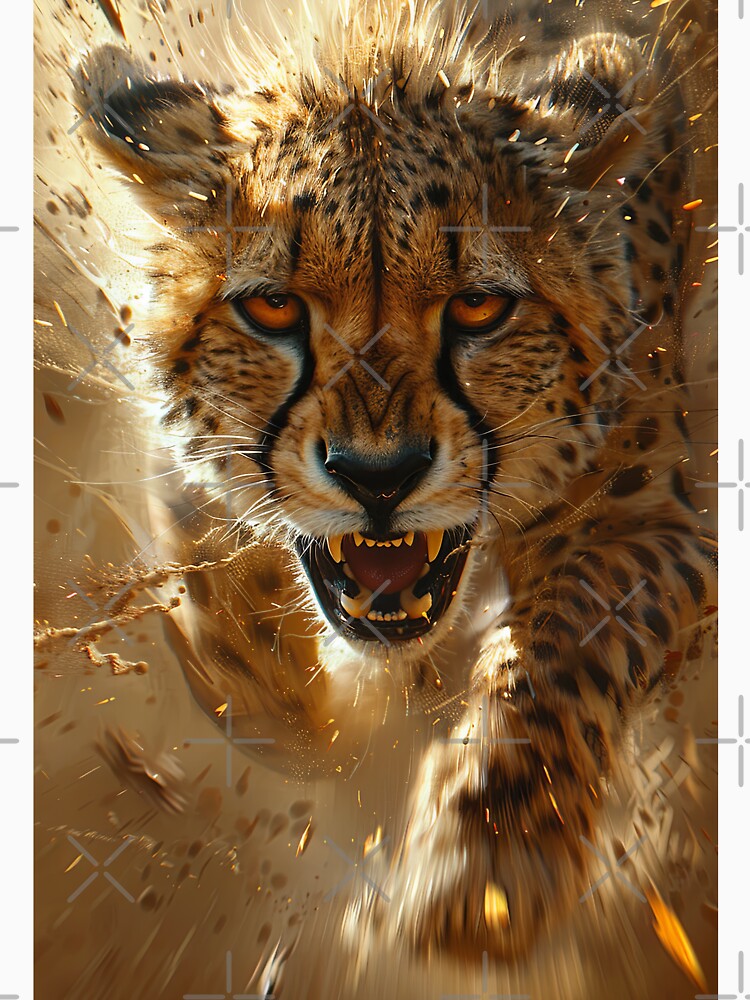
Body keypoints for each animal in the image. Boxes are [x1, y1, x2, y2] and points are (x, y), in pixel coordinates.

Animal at [70, 0, 717, 975]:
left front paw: (485, 872)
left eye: (481, 308)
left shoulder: (646, 522)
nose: (379, 476)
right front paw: (308, 711)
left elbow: (560, 654)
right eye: (271, 308)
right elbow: (238, 635)